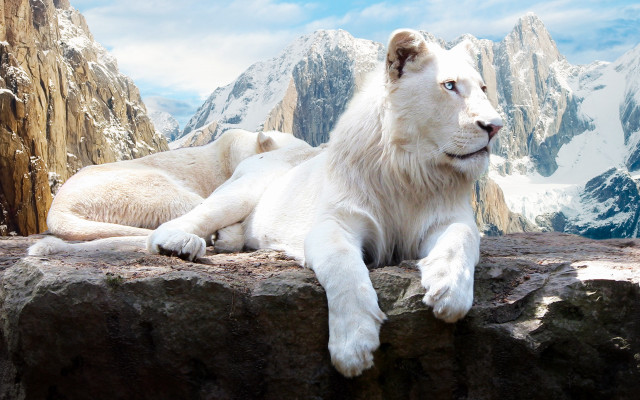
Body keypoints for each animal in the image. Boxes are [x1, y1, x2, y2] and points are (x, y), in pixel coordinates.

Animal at [146, 29, 503, 377]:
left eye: (484, 88)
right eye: (449, 85)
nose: (495, 126)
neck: (410, 170)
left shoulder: (448, 218)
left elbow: (461, 238)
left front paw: (449, 290)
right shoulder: (336, 221)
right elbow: (343, 267)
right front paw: (353, 345)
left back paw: (226, 239)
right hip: (243, 191)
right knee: (183, 221)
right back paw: (181, 243)